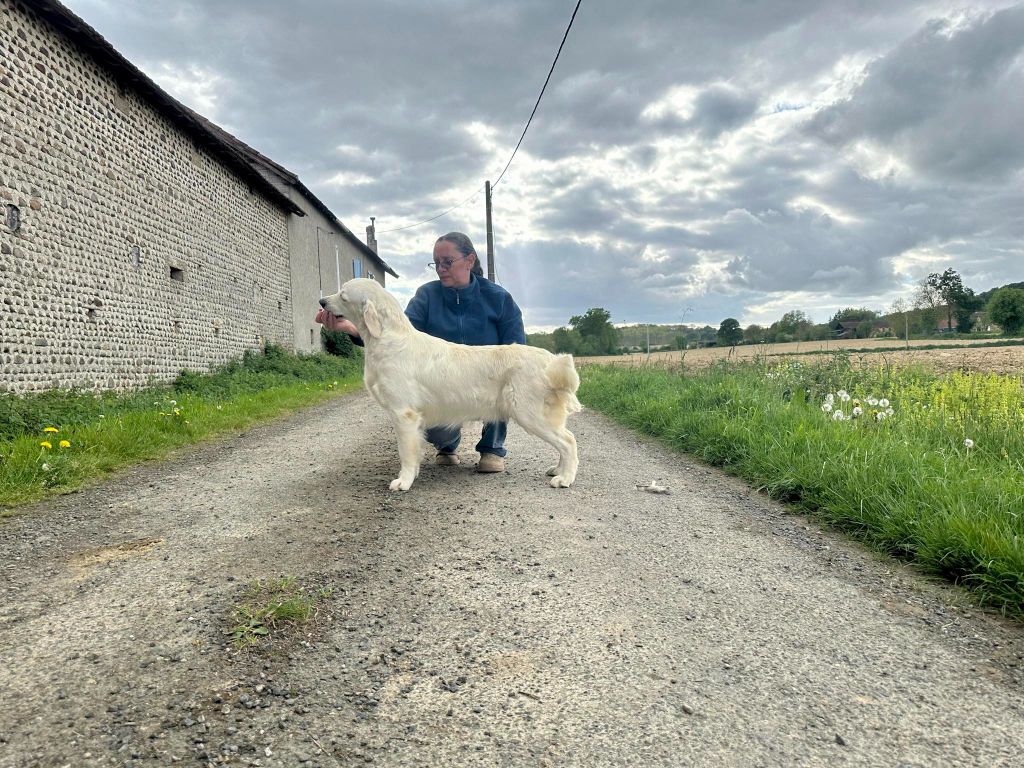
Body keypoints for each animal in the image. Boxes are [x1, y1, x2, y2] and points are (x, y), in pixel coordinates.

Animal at [319, 278, 581, 493]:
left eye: (343, 295)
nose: (322, 301)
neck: (387, 339)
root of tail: (551, 360)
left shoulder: (404, 414)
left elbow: (405, 453)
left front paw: (403, 482)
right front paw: (412, 476)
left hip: (530, 413)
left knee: (568, 442)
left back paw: (564, 478)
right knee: (566, 439)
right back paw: (558, 470)